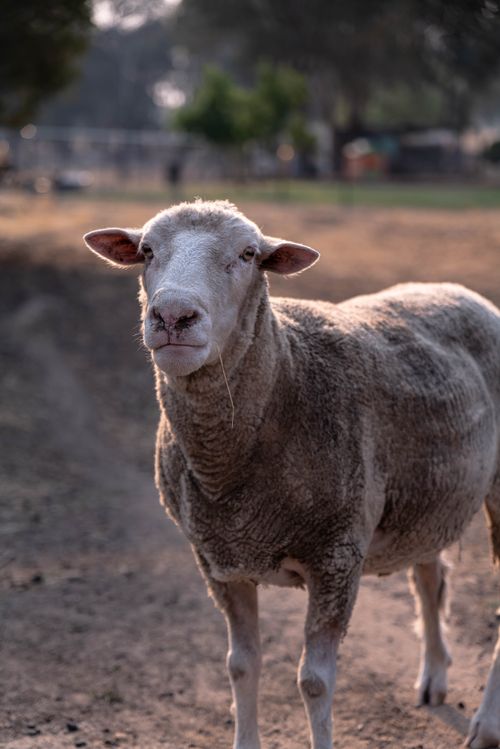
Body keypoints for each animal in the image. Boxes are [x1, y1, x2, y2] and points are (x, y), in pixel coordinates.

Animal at [84, 199, 500, 749]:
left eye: (248, 254)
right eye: (147, 250)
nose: (173, 315)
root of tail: (464, 293)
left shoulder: (336, 556)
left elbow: (314, 682)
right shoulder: (220, 560)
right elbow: (241, 666)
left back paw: (486, 725)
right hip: (425, 495)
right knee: (430, 576)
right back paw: (433, 676)